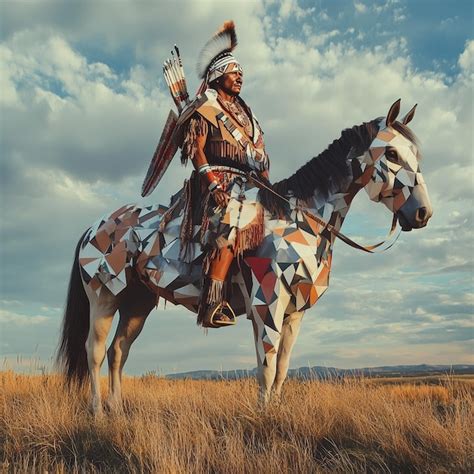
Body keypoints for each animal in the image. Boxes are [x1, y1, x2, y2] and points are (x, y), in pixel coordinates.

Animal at [57, 99, 432, 414]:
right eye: (392, 154)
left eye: (417, 154)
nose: (422, 214)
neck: (298, 219)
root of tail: (94, 228)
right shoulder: (268, 305)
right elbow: (266, 366)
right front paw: (264, 417)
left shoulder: (294, 313)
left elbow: (281, 368)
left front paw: (275, 412)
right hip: (104, 298)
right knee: (94, 352)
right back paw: (97, 413)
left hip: (137, 303)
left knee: (118, 352)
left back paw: (117, 411)